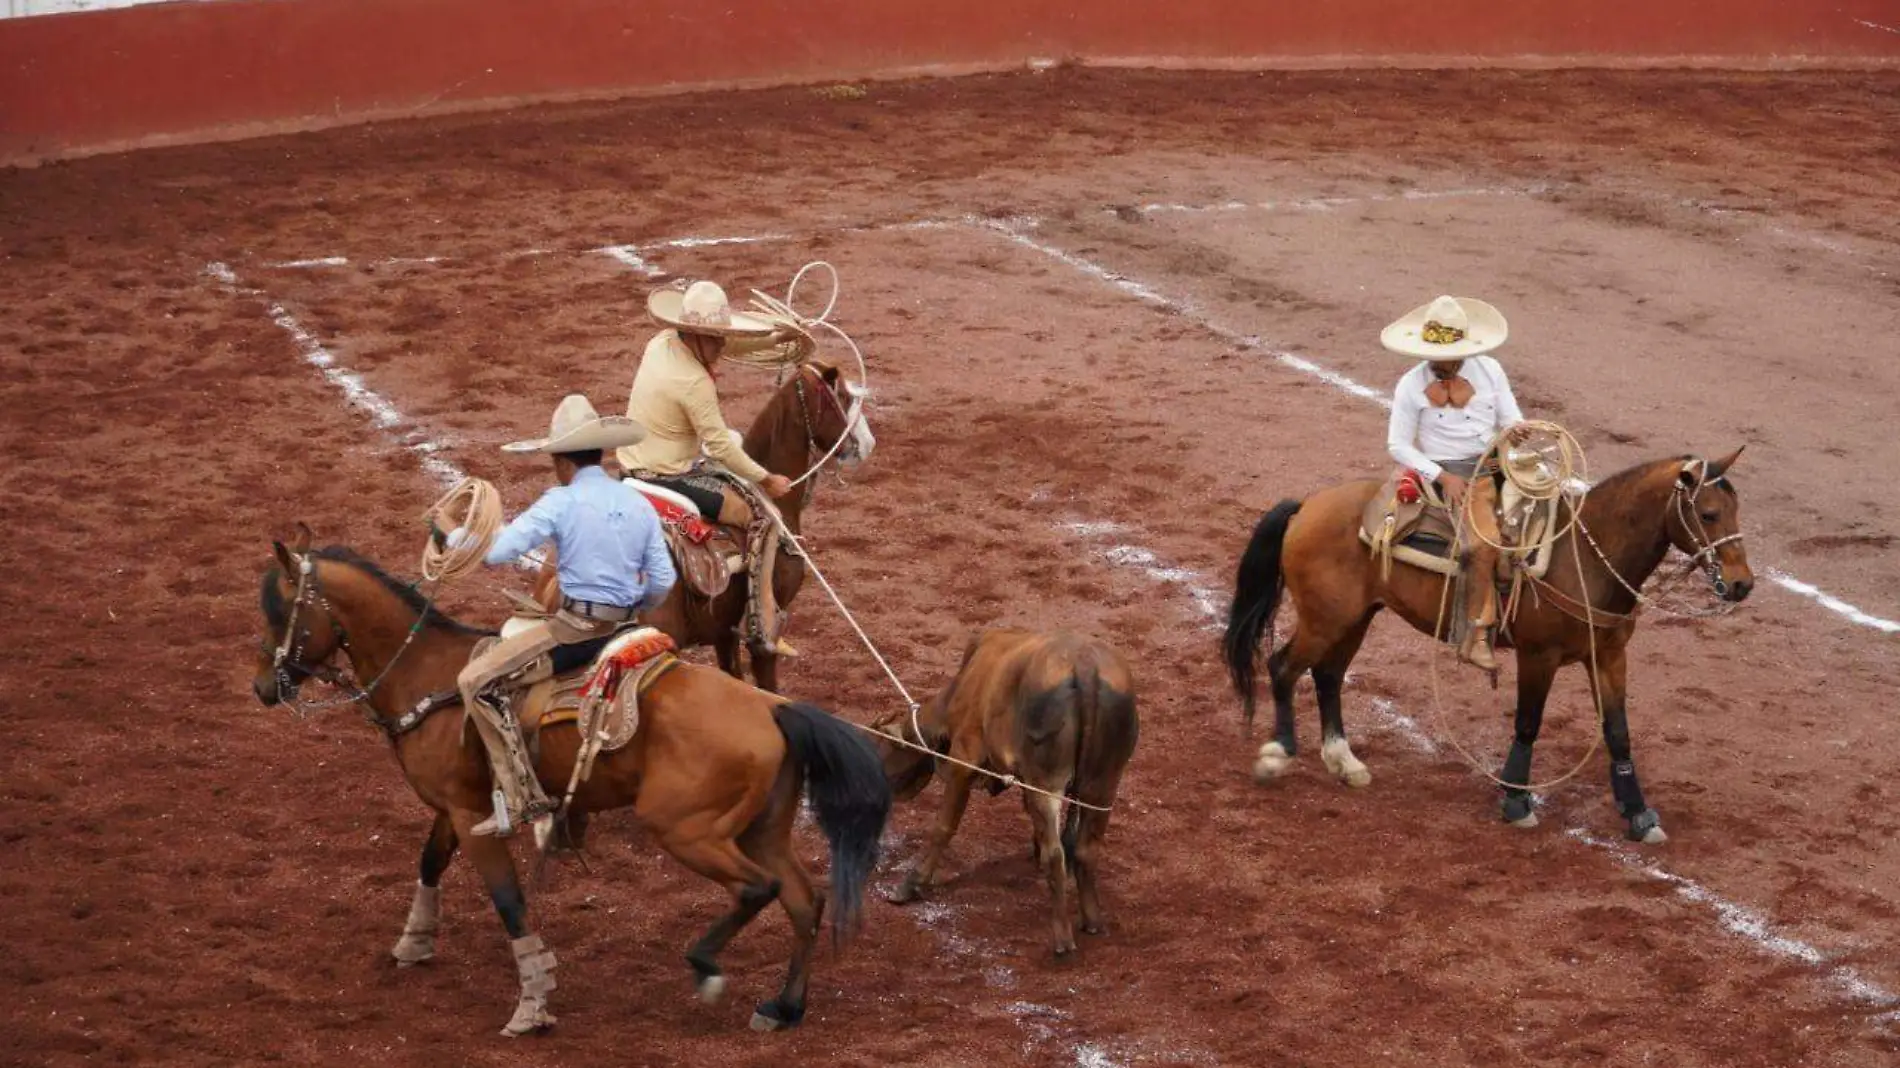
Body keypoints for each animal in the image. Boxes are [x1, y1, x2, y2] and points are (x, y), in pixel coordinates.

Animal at [250, 535, 889, 1033]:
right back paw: (783, 1007)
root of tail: (774, 708)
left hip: (687, 829)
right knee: (804, 900)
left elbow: (509, 901)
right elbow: (429, 860)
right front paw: (415, 941)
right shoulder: (457, 806)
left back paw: (706, 965)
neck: (430, 676)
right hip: (761, 829)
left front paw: (532, 1003)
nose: (263, 687)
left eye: (280, 613)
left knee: (759, 889)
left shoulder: (473, 818)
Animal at [1231, 444, 1748, 836]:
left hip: (1354, 618)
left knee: (1328, 676)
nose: (1743, 584)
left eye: (1737, 510)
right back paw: (1278, 754)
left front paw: (1638, 814)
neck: (1586, 556)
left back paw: (1344, 761)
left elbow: (1618, 733)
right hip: (1325, 619)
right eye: (1708, 513)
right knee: (1283, 668)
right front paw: (1516, 801)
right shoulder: (1538, 656)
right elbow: (1528, 724)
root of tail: (1306, 505)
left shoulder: (1609, 655)